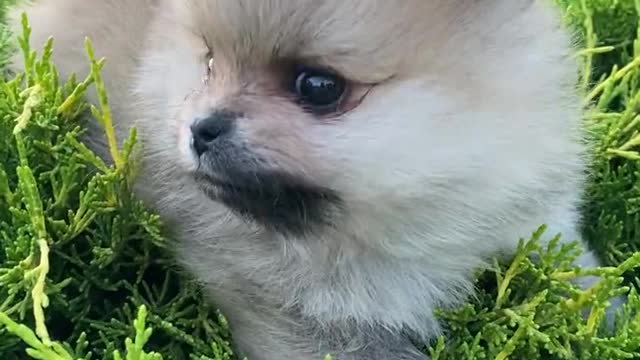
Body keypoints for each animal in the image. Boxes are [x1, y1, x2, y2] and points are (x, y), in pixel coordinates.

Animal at [6, 0, 616, 358]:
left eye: (318, 86)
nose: (200, 128)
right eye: (209, 64)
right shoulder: (296, 312)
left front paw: (608, 313)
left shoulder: (531, 206)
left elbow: (578, 271)